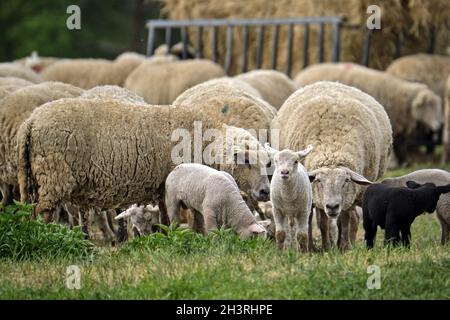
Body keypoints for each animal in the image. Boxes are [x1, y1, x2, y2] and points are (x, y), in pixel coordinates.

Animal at [16, 99, 270, 224]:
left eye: (266, 163)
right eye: (245, 159)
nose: (265, 192)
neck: (204, 140)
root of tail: (31, 121)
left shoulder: (165, 189)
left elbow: (169, 220)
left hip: (37, 178)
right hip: (54, 175)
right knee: (42, 212)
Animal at [272, 81, 392, 251]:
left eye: (346, 181)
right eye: (319, 180)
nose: (333, 206)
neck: (332, 149)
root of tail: (329, 82)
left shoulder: (348, 195)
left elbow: (345, 219)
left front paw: (343, 246)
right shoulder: (316, 196)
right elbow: (321, 222)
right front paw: (324, 247)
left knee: (349, 218)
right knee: (313, 219)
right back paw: (314, 245)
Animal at [294, 63, 442, 166]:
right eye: (429, 105)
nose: (440, 125)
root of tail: (303, 72)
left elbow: (401, 146)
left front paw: (405, 162)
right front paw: (395, 163)